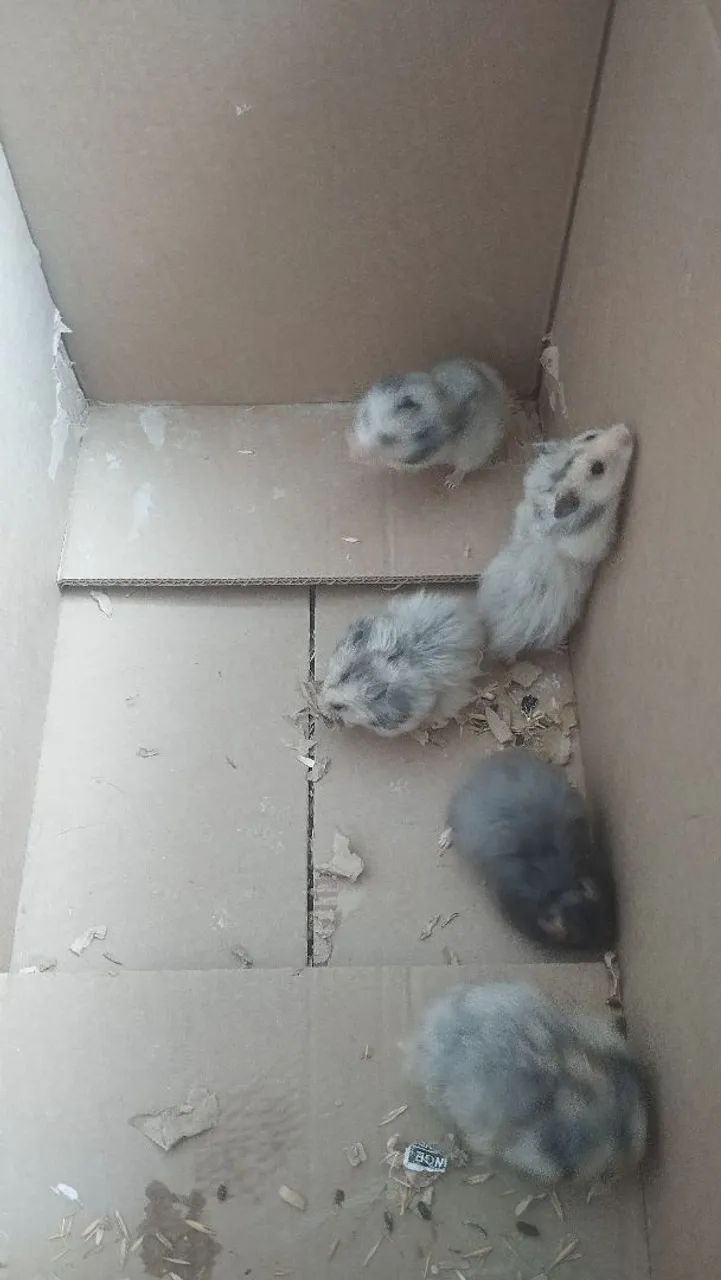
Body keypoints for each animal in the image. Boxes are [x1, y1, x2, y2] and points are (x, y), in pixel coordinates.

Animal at [351, 358, 509, 486]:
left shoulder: (409, 461)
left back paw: (450, 482)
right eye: (366, 417)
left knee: (463, 467)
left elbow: (384, 460)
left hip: (474, 451)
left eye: (387, 439)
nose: (353, 455)